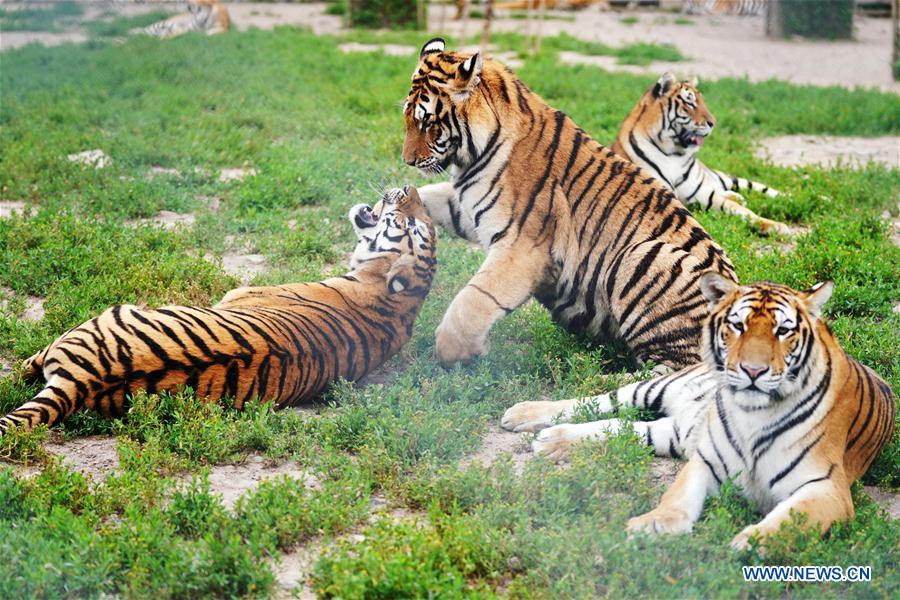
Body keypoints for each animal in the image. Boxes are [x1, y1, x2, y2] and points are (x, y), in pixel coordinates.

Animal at [0, 187, 436, 435]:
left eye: (409, 223)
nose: (409, 186)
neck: (395, 303)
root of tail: (81, 381)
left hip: (96, 320)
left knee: (26, 365)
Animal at [404, 38, 736, 370]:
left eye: (426, 122)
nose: (407, 161)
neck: (472, 156)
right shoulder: (470, 209)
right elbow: (428, 193)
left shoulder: (522, 247)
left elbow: (474, 300)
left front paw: (461, 352)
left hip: (643, 254)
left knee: (680, 368)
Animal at [503, 274, 895, 549]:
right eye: (737, 325)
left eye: (783, 330)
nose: (753, 371)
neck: (754, 414)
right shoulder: (706, 459)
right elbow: (677, 496)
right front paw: (655, 524)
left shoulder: (828, 487)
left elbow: (794, 517)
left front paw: (753, 543)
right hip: (653, 388)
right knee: (599, 401)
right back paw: (523, 415)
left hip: (666, 433)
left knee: (614, 428)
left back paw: (551, 441)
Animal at [610, 73, 793, 235]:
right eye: (690, 103)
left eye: (703, 102)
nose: (713, 123)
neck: (674, 154)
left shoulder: (703, 194)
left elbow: (741, 210)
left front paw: (776, 226)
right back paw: (738, 196)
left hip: (722, 177)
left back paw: (792, 198)